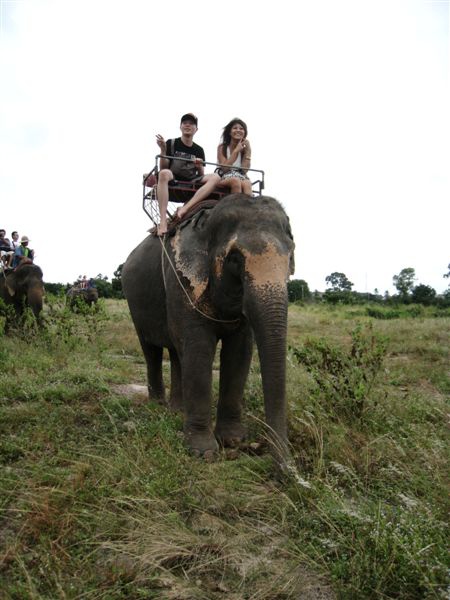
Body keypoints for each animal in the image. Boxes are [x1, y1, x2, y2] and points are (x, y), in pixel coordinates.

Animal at [121, 195, 294, 462]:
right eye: (235, 259)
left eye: (290, 257)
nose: (285, 467)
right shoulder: (181, 278)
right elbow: (199, 348)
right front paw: (204, 452)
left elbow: (239, 353)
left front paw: (232, 441)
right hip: (135, 303)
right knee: (151, 351)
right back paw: (158, 406)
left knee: (176, 353)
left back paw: (177, 411)